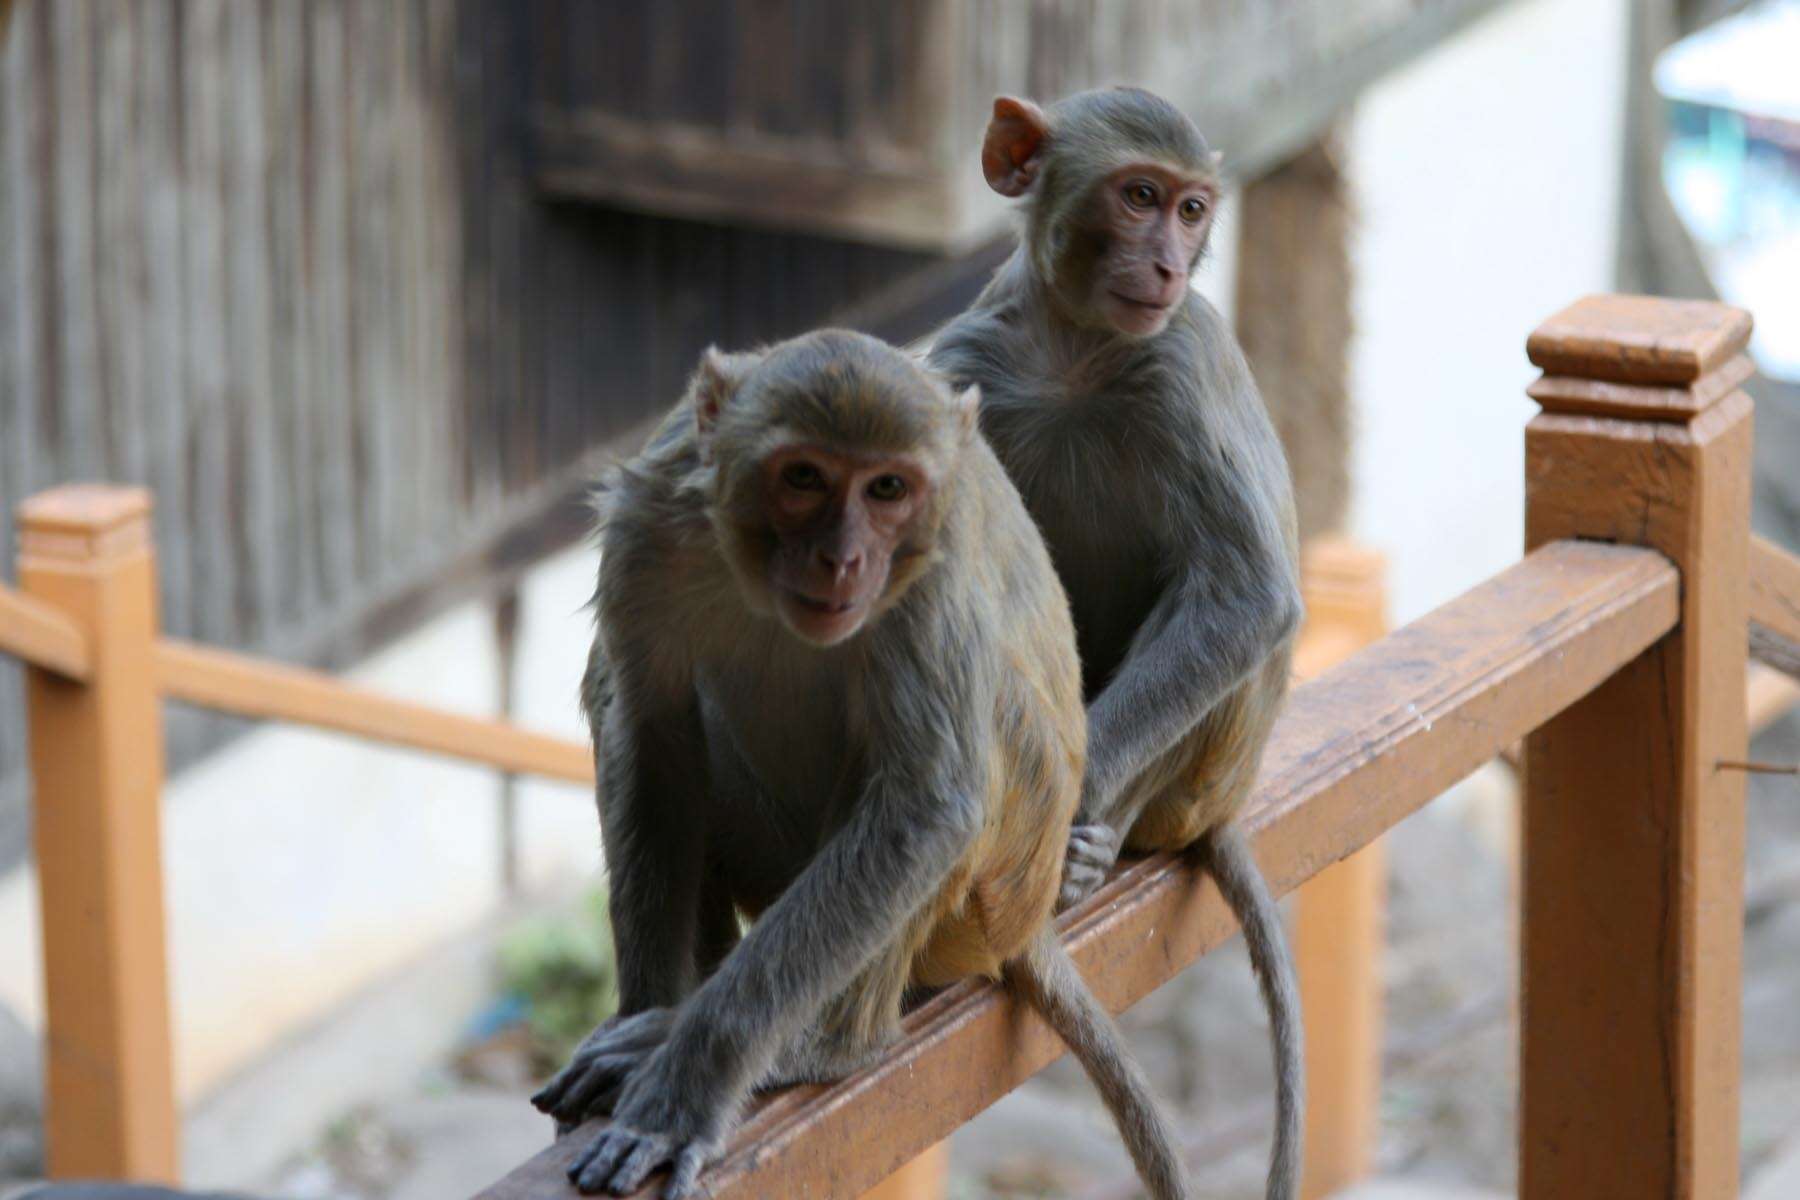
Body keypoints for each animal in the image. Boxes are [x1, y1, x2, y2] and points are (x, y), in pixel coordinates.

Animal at [540, 331, 1202, 1200]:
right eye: (803, 478)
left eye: (887, 488)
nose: (842, 559)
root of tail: (1028, 920)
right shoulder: (646, 527)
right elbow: (652, 737)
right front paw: (645, 1015)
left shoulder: (928, 568)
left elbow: (925, 809)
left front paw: (687, 1083)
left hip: (990, 893)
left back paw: (828, 1045)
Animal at [928, 86, 1310, 1200]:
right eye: (1139, 197)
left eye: (1192, 209)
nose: (1172, 265)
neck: (1073, 348)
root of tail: (1220, 806)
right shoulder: (964, 364)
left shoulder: (1177, 360)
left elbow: (1244, 593)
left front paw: (1078, 820)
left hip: (1210, 766)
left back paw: (1102, 839)